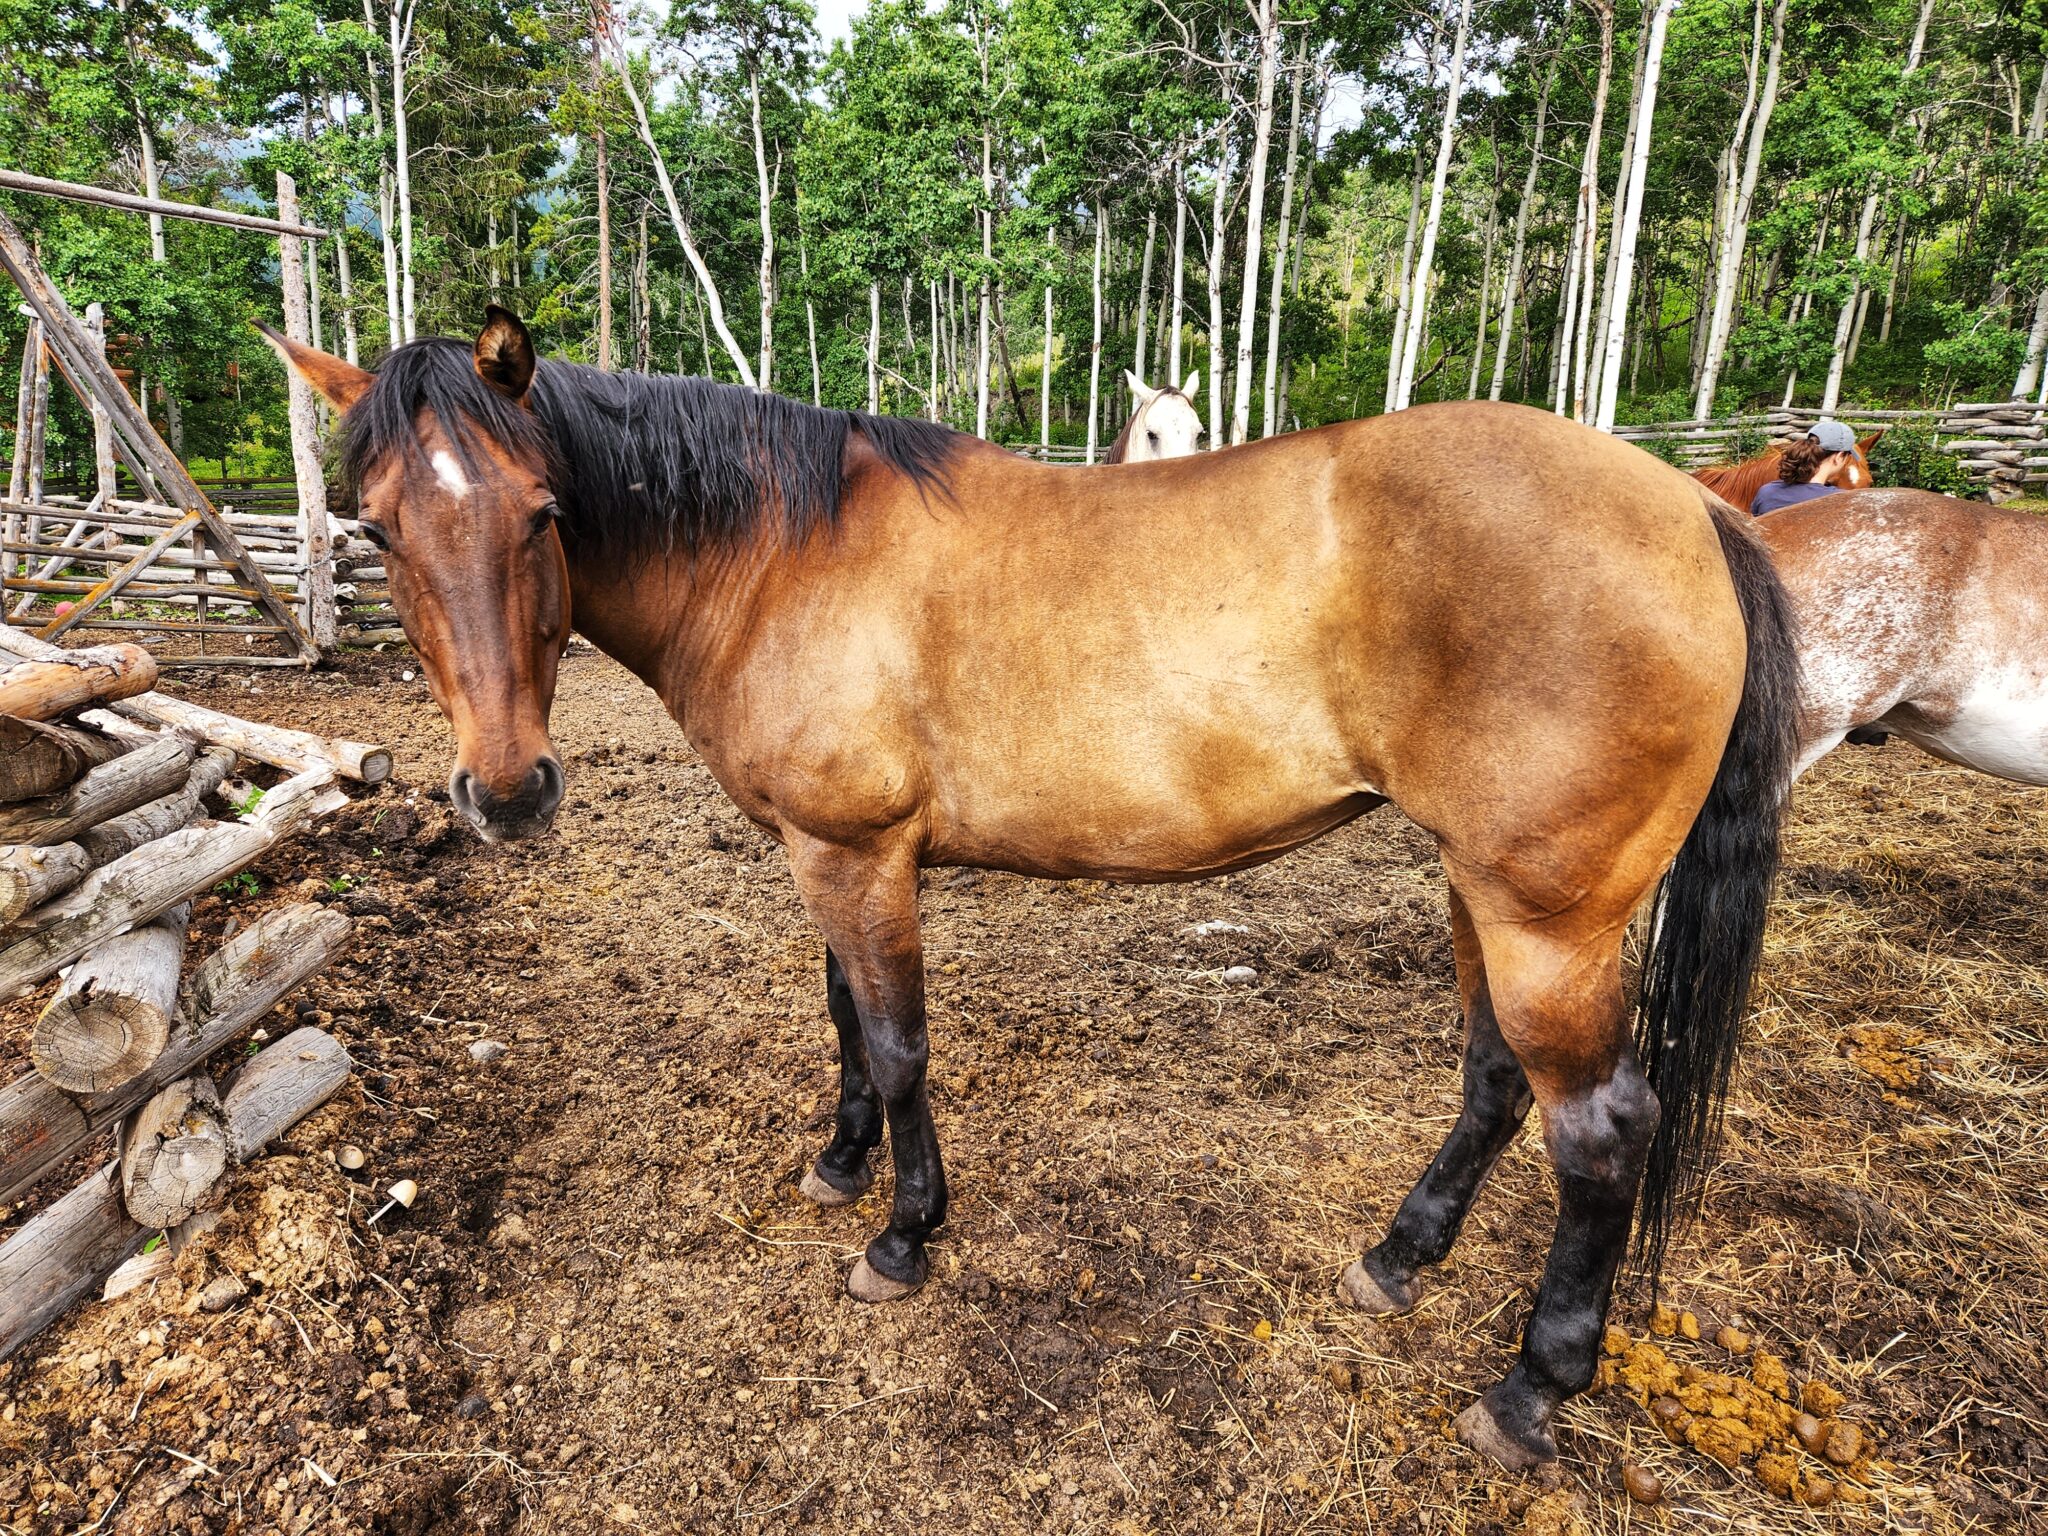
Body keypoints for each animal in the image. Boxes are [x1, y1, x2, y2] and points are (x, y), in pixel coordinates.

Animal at [262, 308, 1800, 1470]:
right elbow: (845, 1025)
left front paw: (902, 1235)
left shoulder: (858, 853)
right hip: (1482, 894)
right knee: (1493, 1080)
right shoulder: (823, 852)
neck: (780, 550)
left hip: (1550, 919)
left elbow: (894, 1041)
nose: (508, 792)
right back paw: (1398, 1259)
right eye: (378, 530)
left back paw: (1531, 1391)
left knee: (1599, 1130)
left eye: (540, 513)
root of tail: (1688, 510)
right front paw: (839, 1168)